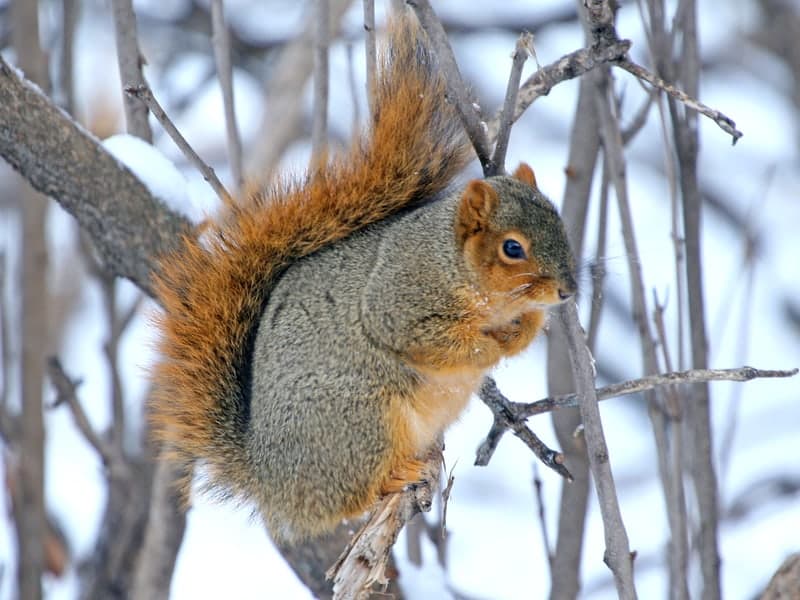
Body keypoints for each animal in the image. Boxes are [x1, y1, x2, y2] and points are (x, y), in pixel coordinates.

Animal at [150, 14, 577, 542]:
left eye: (560, 221)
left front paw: (526, 330)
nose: (568, 291)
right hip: (363, 420)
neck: (460, 269)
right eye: (512, 248)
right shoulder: (399, 300)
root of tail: (269, 480)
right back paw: (395, 476)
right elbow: (434, 342)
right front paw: (489, 346)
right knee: (349, 498)